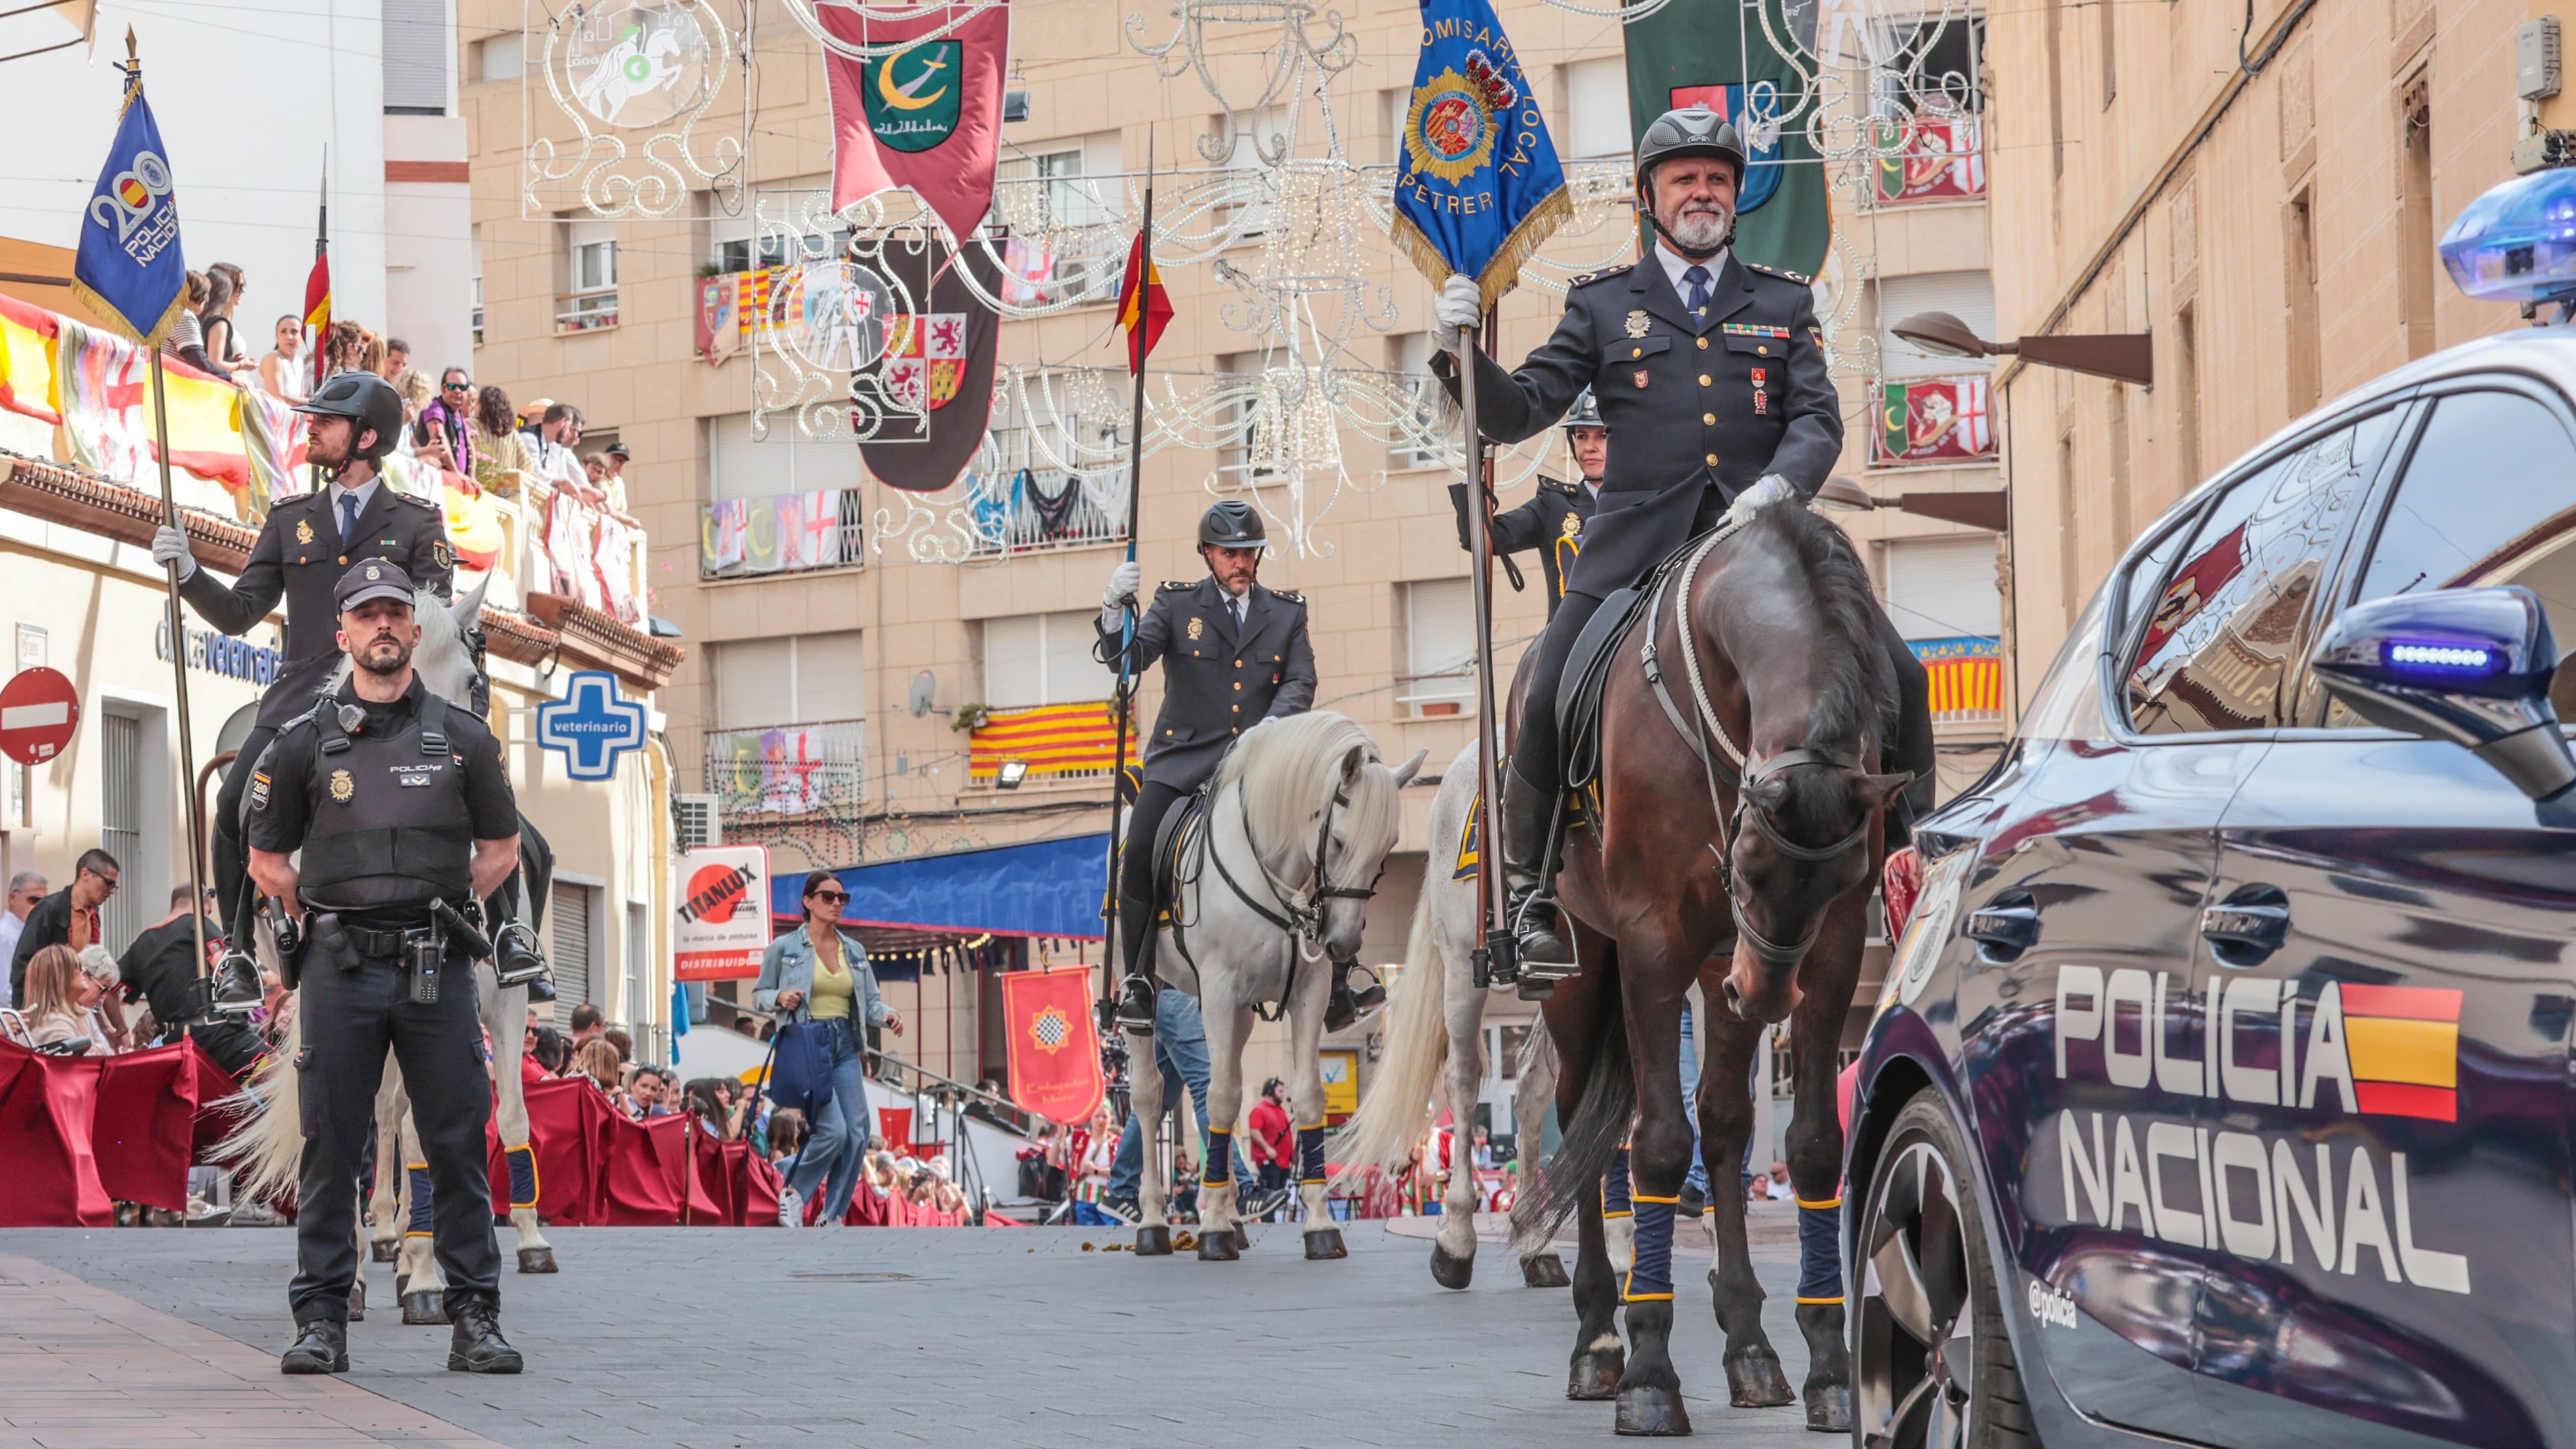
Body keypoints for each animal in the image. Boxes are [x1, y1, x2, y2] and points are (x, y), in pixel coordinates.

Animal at [222, 569, 564, 1315]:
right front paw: (412, 1270)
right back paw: (375, 1251)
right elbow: (379, 1124)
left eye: (472, 680)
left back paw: (398, 1240)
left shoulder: (498, 1001)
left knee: (392, 1110)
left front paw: (514, 1242)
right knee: (371, 1115)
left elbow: (507, 1116)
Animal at [1123, 706, 1422, 1253]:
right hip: (1147, 989)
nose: (1342, 943)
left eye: (1388, 847)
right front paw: (1213, 1231)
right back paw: (1154, 1220)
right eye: (1340, 840)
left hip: (1237, 1012)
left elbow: (1305, 1098)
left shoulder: (1308, 993)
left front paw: (1320, 1224)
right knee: (1151, 1096)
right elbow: (1221, 1098)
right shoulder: (1220, 990)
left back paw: (1232, 1213)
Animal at [1515, 500, 1906, 1433]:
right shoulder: (1651, 940)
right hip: (1586, 974)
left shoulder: (1833, 947)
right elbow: (1656, 1147)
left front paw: (1830, 1366)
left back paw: (1750, 1344)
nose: (1761, 992)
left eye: (1840, 874)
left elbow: (1811, 1145)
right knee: (1588, 1127)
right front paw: (1650, 1374)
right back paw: (1599, 1339)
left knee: (1725, 1123)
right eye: (1754, 864)